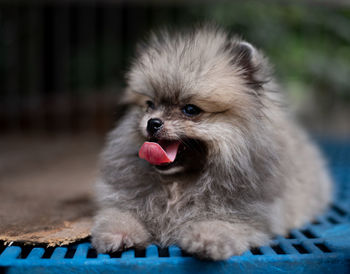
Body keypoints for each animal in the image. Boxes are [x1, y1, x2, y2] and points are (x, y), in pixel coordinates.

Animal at [90, 26, 330, 262]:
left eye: (190, 109)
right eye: (150, 104)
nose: (153, 122)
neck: (177, 184)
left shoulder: (245, 214)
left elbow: (221, 223)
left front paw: (206, 239)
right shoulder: (126, 201)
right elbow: (120, 214)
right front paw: (117, 233)